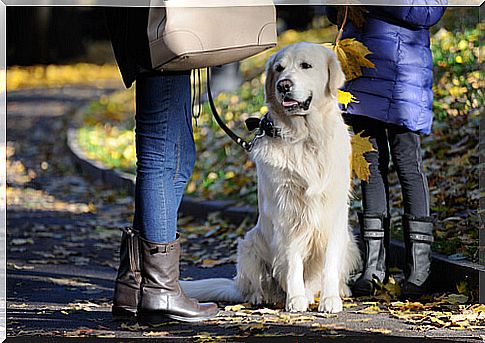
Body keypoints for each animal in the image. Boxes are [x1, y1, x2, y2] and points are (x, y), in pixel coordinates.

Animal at [181, 43, 360, 314]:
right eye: (279, 68)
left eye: (306, 66)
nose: (283, 85)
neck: (304, 137)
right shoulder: (286, 213)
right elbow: (293, 262)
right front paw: (295, 300)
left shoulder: (333, 215)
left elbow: (330, 264)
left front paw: (330, 300)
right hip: (249, 245)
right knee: (256, 285)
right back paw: (263, 297)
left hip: (349, 239)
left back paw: (337, 291)